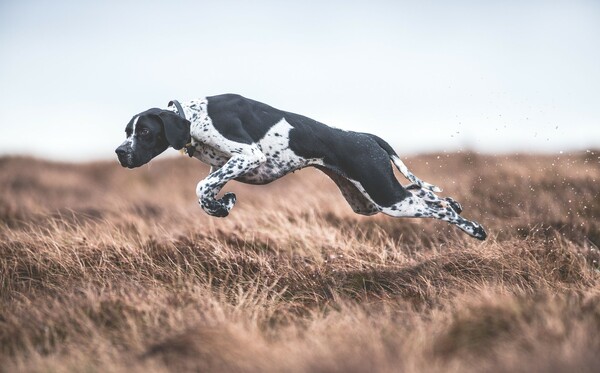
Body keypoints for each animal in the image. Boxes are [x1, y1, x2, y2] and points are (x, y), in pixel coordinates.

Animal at [113, 92, 488, 238]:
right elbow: (207, 191)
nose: (119, 152)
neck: (192, 117)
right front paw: (222, 205)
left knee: (438, 208)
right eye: (127, 131)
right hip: (368, 199)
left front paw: (221, 204)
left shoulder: (249, 155)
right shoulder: (225, 165)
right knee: (428, 195)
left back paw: (474, 229)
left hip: (386, 197)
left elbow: (200, 187)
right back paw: (453, 203)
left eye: (144, 132)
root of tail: (366, 136)